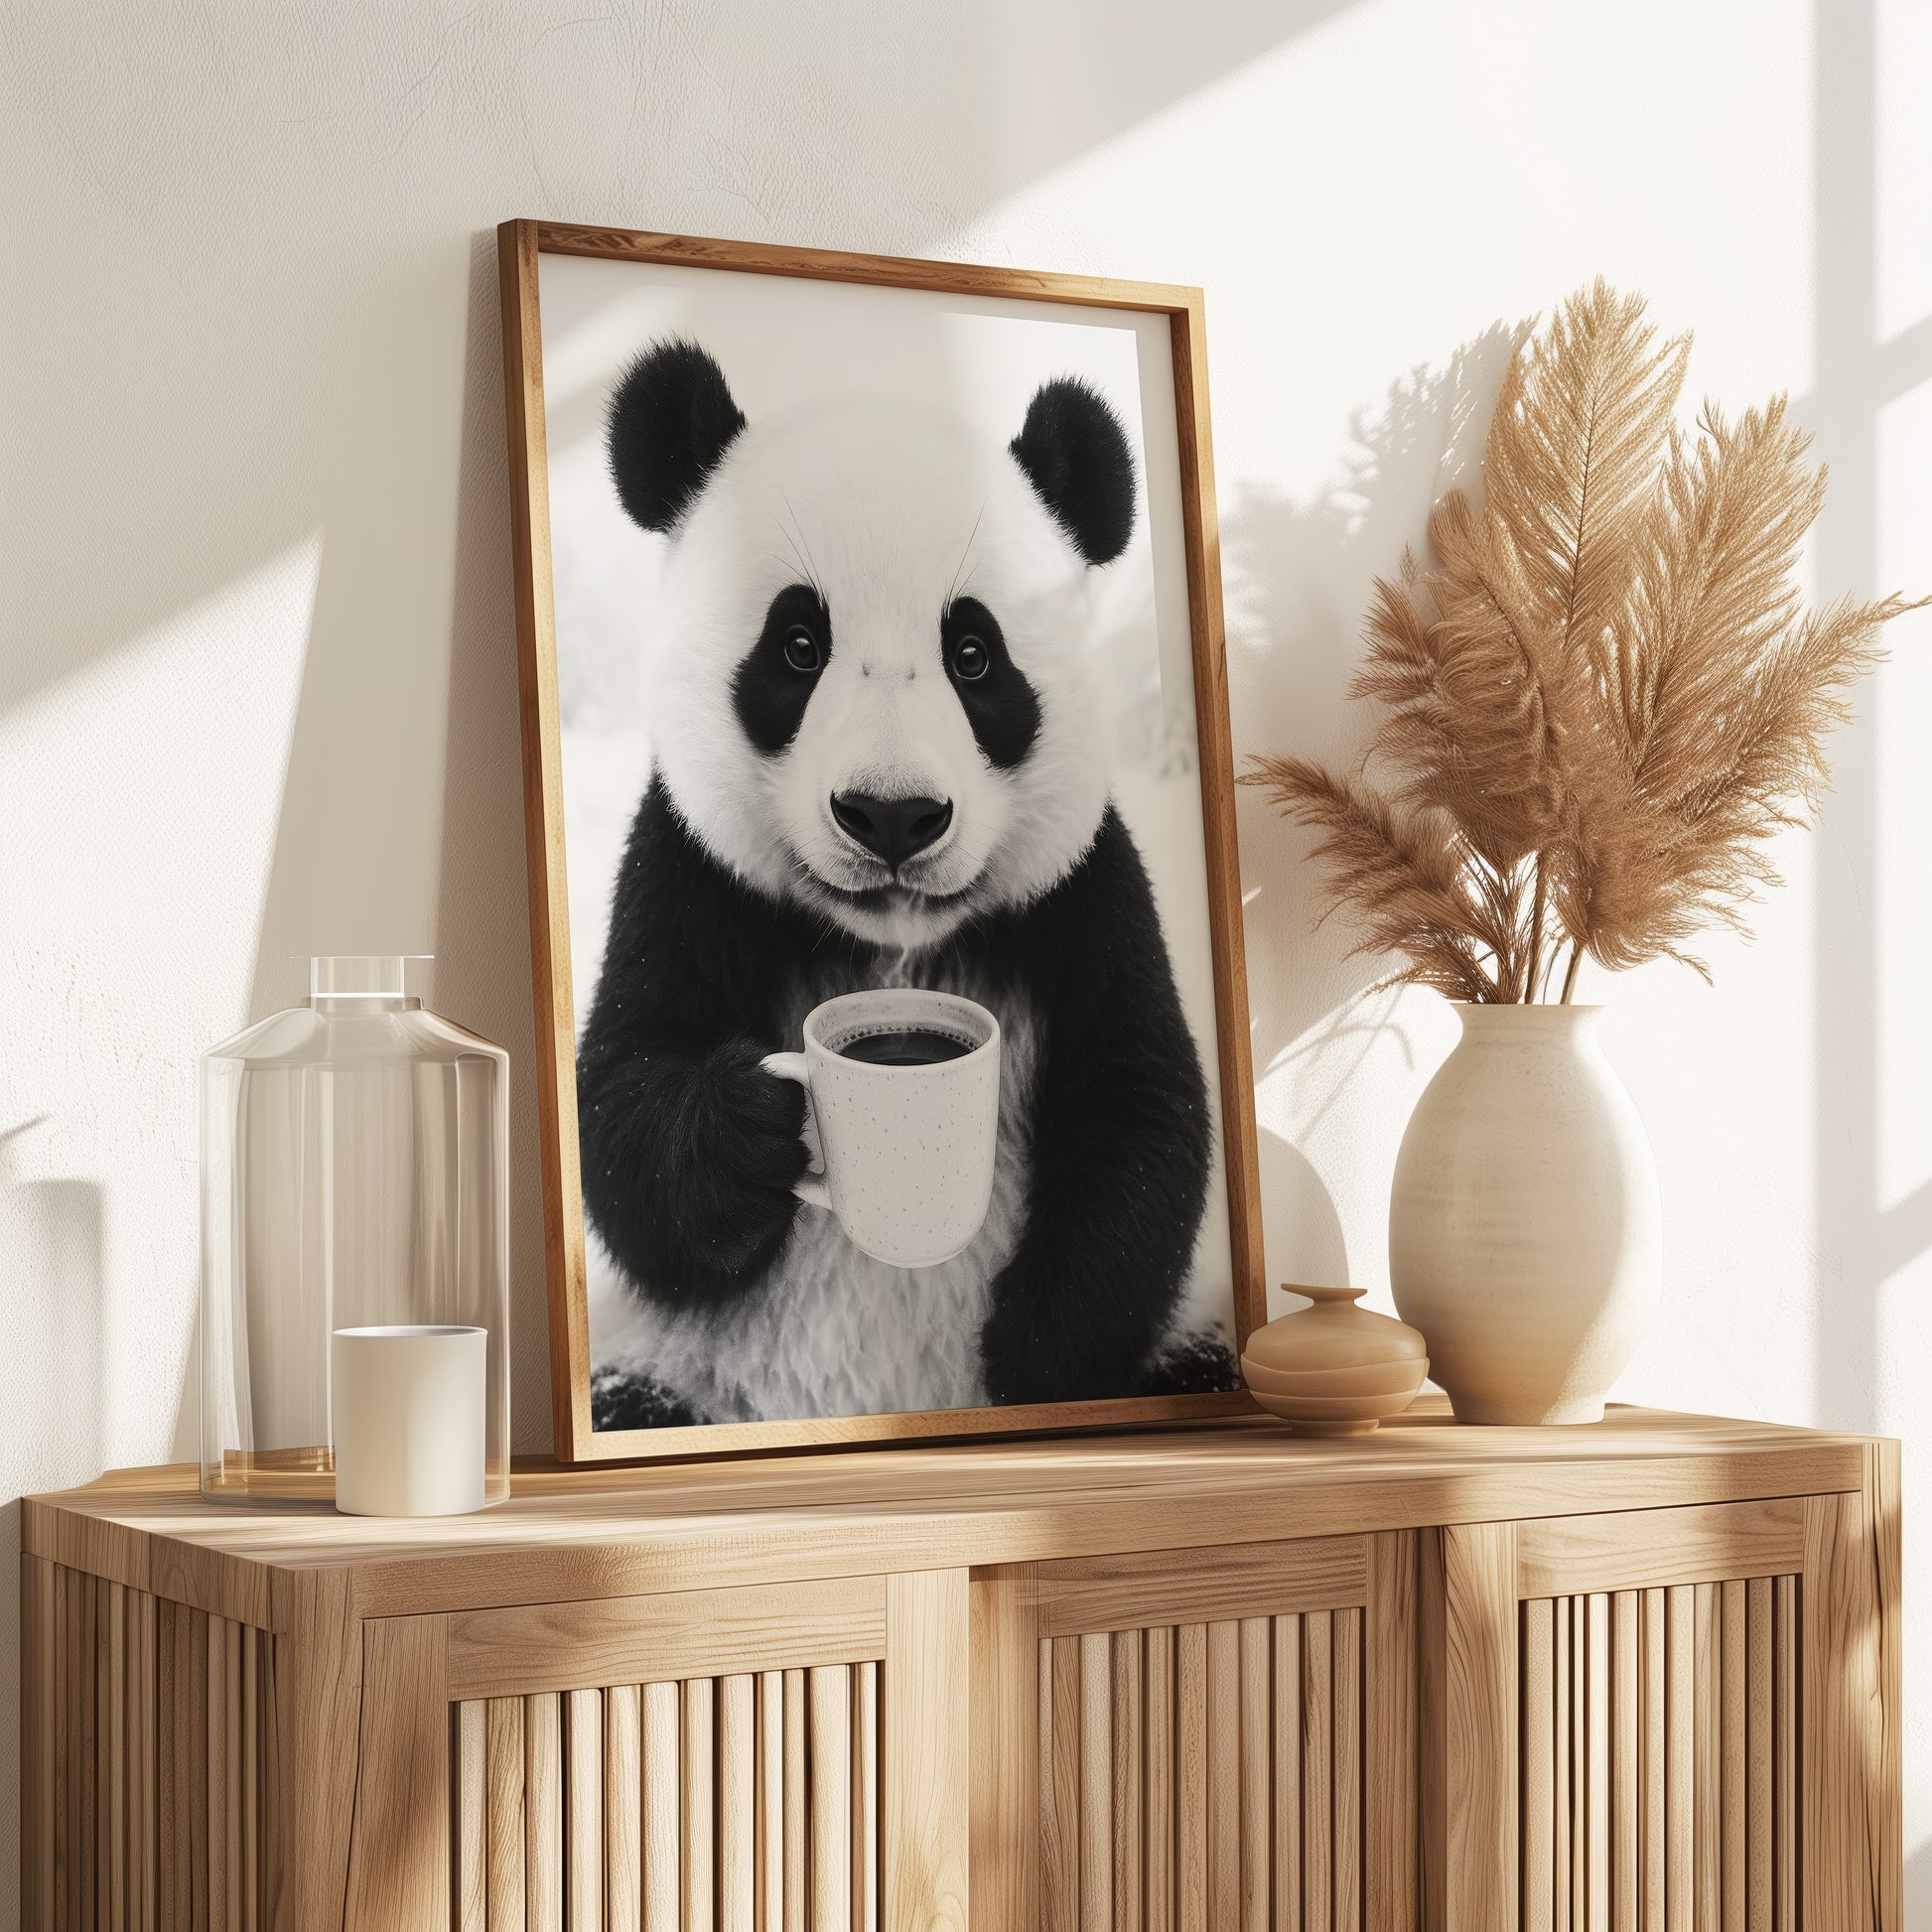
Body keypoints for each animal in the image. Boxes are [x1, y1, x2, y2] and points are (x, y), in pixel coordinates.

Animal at [578, 338, 1239, 1430]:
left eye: (972, 656)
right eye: (797, 646)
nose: (891, 815)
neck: (892, 943)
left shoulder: (1086, 894)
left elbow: (1138, 1106)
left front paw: (1033, 1357)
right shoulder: (684, 872)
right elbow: (623, 1101)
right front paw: (749, 1123)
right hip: (683, 1371)